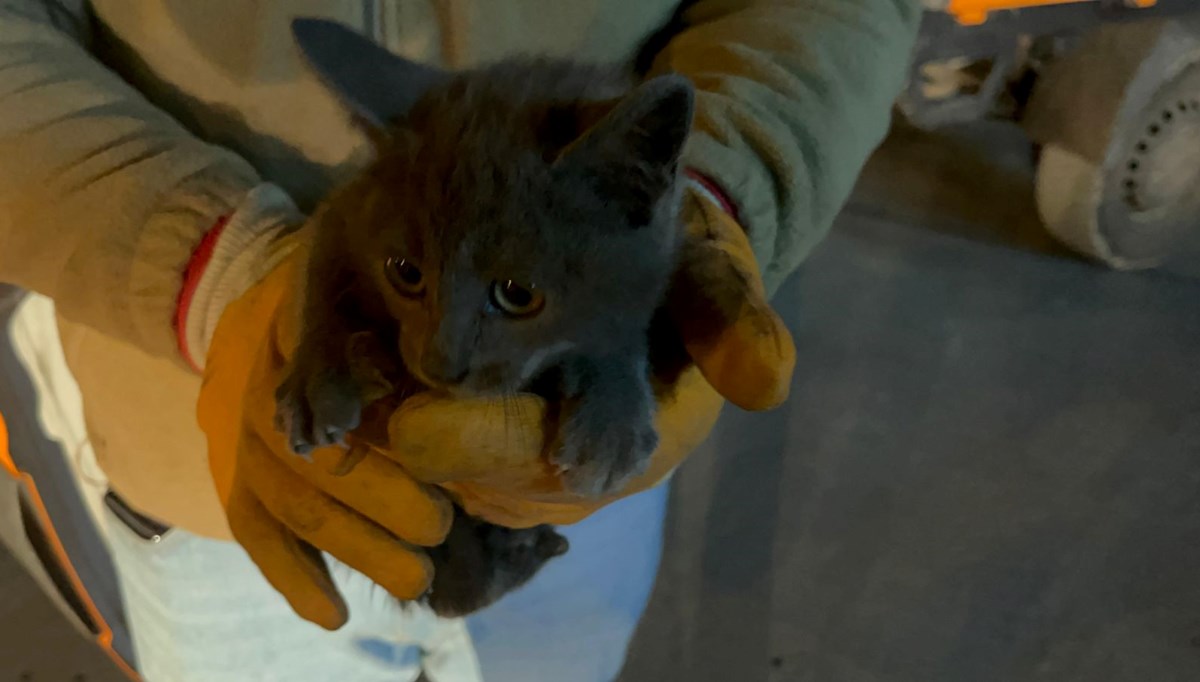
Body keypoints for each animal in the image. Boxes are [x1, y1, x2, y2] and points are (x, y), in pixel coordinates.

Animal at [277, 19, 696, 619]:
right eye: (405, 272)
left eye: (518, 294)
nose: (438, 364)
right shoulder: (349, 209)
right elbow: (324, 266)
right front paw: (318, 377)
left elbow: (618, 328)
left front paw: (611, 416)